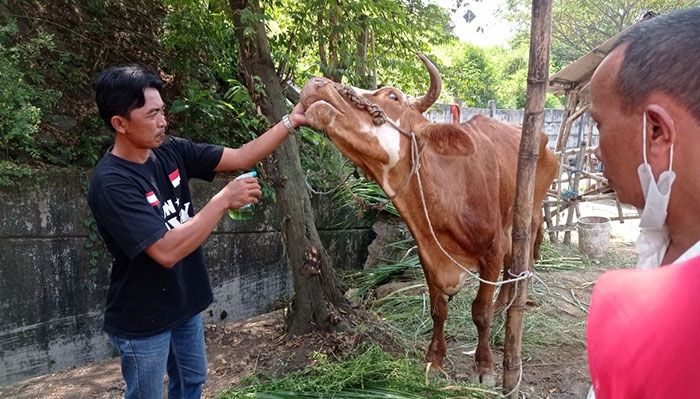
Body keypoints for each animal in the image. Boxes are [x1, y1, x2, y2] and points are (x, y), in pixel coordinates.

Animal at [300, 54, 556, 384]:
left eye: (392, 96)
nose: (315, 84)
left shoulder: (491, 251)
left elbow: (480, 312)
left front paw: (485, 367)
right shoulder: (427, 255)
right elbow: (438, 309)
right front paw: (435, 360)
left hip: (529, 217)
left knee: (520, 263)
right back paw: (503, 305)